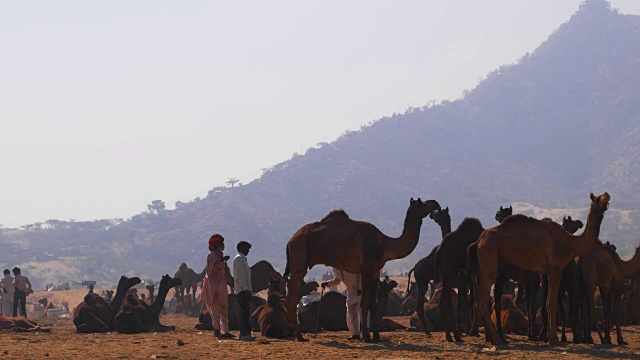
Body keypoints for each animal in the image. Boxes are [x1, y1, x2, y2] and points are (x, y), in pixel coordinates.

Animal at [284, 198, 440, 342]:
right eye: (422, 203)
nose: (436, 203)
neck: (384, 244)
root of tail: (290, 240)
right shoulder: (366, 268)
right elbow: (364, 303)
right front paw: (366, 336)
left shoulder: (376, 271)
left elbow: (373, 303)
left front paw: (376, 336)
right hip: (299, 260)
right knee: (292, 299)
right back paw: (300, 337)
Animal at [478, 193, 612, 344]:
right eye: (597, 199)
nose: (607, 195)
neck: (570, 243)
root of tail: (479, 241)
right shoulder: (556, 267)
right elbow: (551, 303)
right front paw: (552, 338)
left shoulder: (546, 272)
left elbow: (547, 303)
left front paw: (548, 336)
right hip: (489, 263)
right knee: (483, 303)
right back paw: (498, 339)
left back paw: (495, 339)